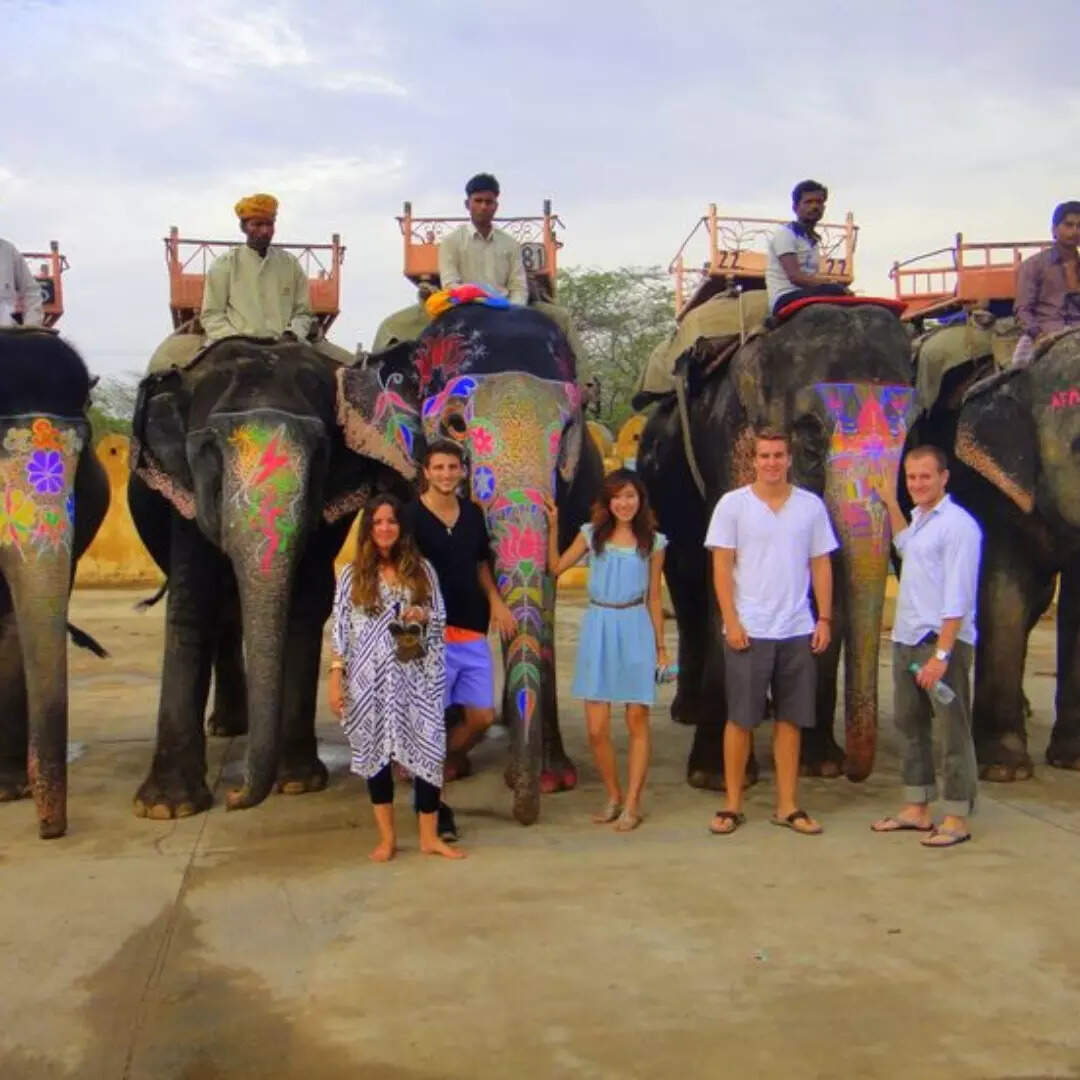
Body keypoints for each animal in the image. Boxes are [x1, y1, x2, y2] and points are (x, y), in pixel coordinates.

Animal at [128, 336, 414, 818]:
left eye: (322, 454)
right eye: (206, 454)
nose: (233, 797)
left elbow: (306, 603)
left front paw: (298, 783)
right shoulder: (183, 497)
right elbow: (193, 601)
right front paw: (166, 809)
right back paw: (227, 730)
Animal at [636, 301, 915, 789]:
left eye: (913, 431)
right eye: (809, 436)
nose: (854, 772)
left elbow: (825, 584)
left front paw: (821, 765)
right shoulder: (733, 443)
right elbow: (725, 577)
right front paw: (715, 776)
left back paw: (763, 712)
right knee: (687, 581)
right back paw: (689, 713)